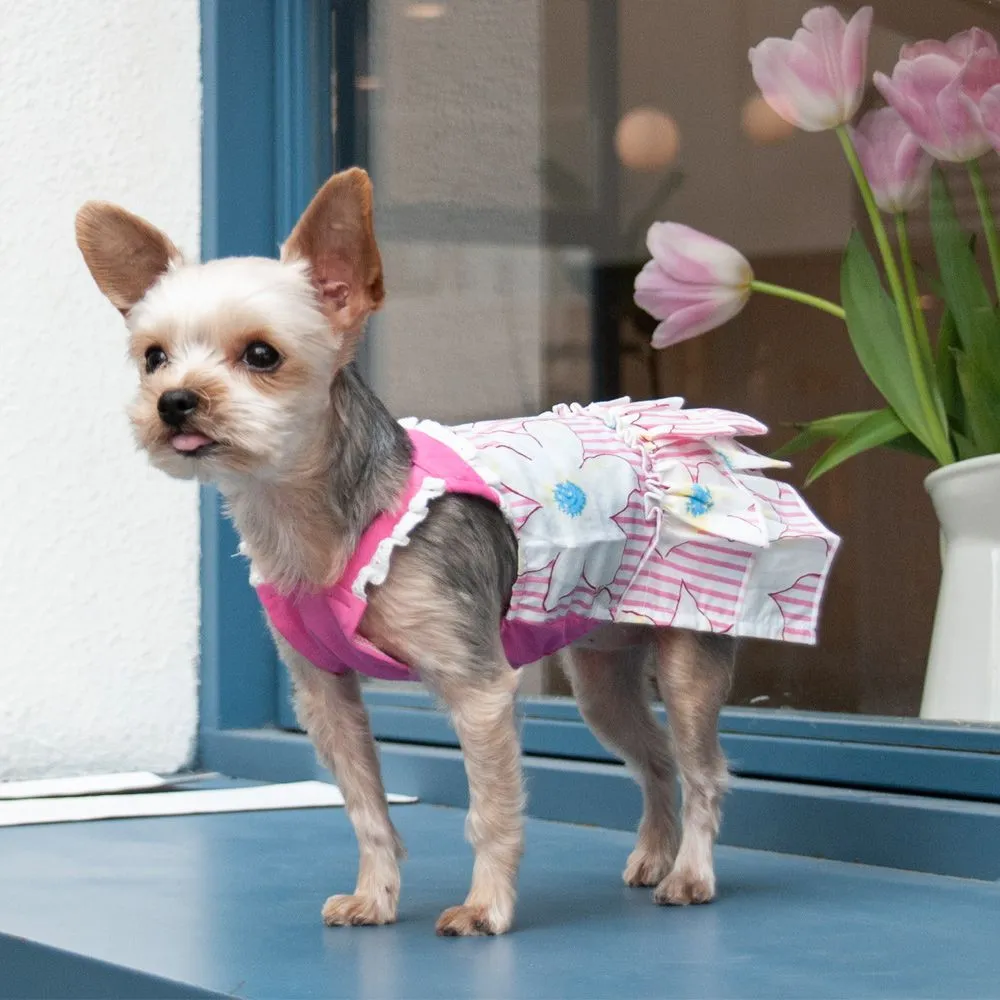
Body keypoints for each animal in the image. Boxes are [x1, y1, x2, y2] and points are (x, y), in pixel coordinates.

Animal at [72, 166, 836, 936]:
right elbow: (366, 809)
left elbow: (490, 812)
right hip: (600, 677)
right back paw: (654, 855)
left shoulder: (479, 688)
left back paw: (690, 874)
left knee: (703, 769)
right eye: (153, 358)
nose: (174, 401)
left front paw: (485, 908)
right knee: (653, 760)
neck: (316, 521)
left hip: (687, 655)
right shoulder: (326, 694)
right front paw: (375, 898)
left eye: (262, 355)